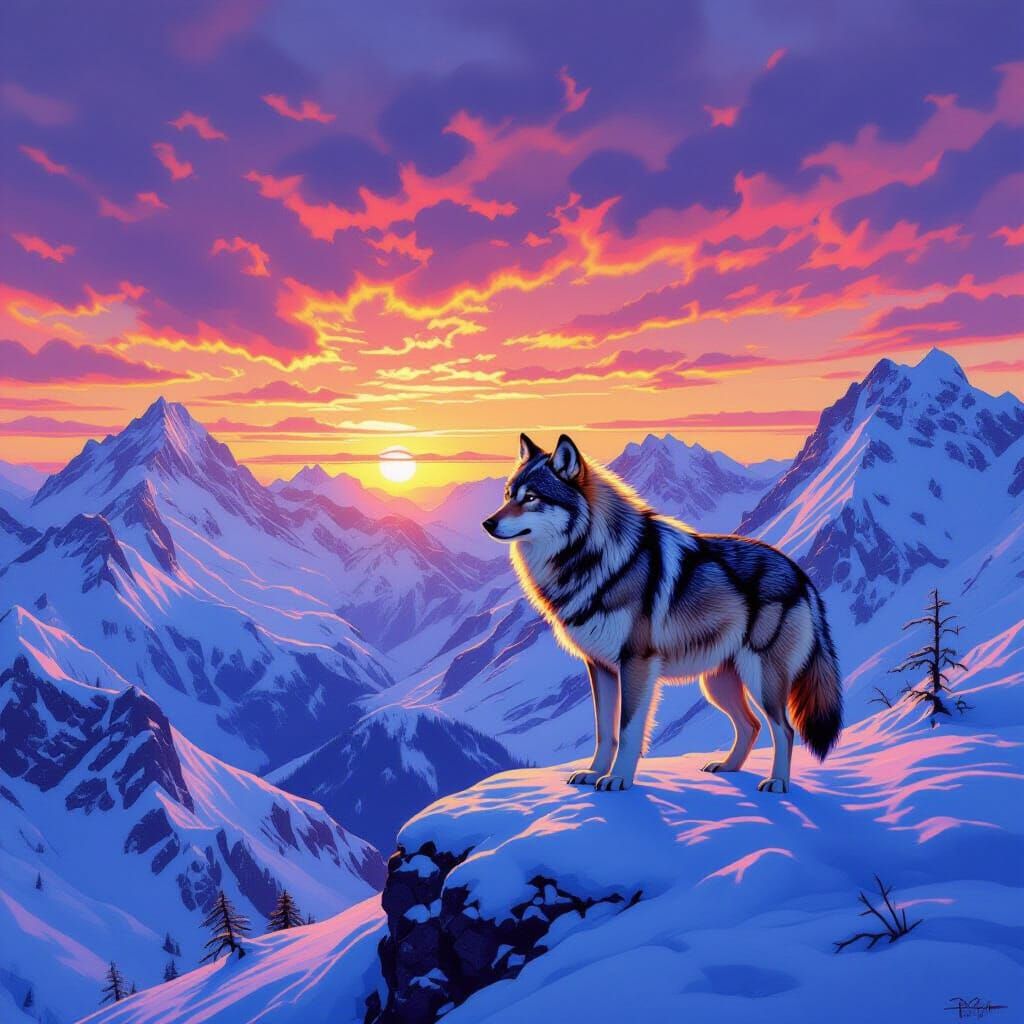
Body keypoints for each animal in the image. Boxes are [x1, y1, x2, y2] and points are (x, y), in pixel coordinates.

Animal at [482, 433, 842, 793]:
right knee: (750, 725)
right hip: (717, 684)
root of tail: (801, 573)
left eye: (531, 498)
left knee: (784, 729)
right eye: (508, 495)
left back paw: (777, 782)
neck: (593, 559)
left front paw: (618, 779)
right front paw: (593, 773)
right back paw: (728, 767)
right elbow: (604, 732)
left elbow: (628, 730)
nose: (487, 522)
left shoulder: (636, 663)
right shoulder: (600, 667)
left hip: (760, 679)